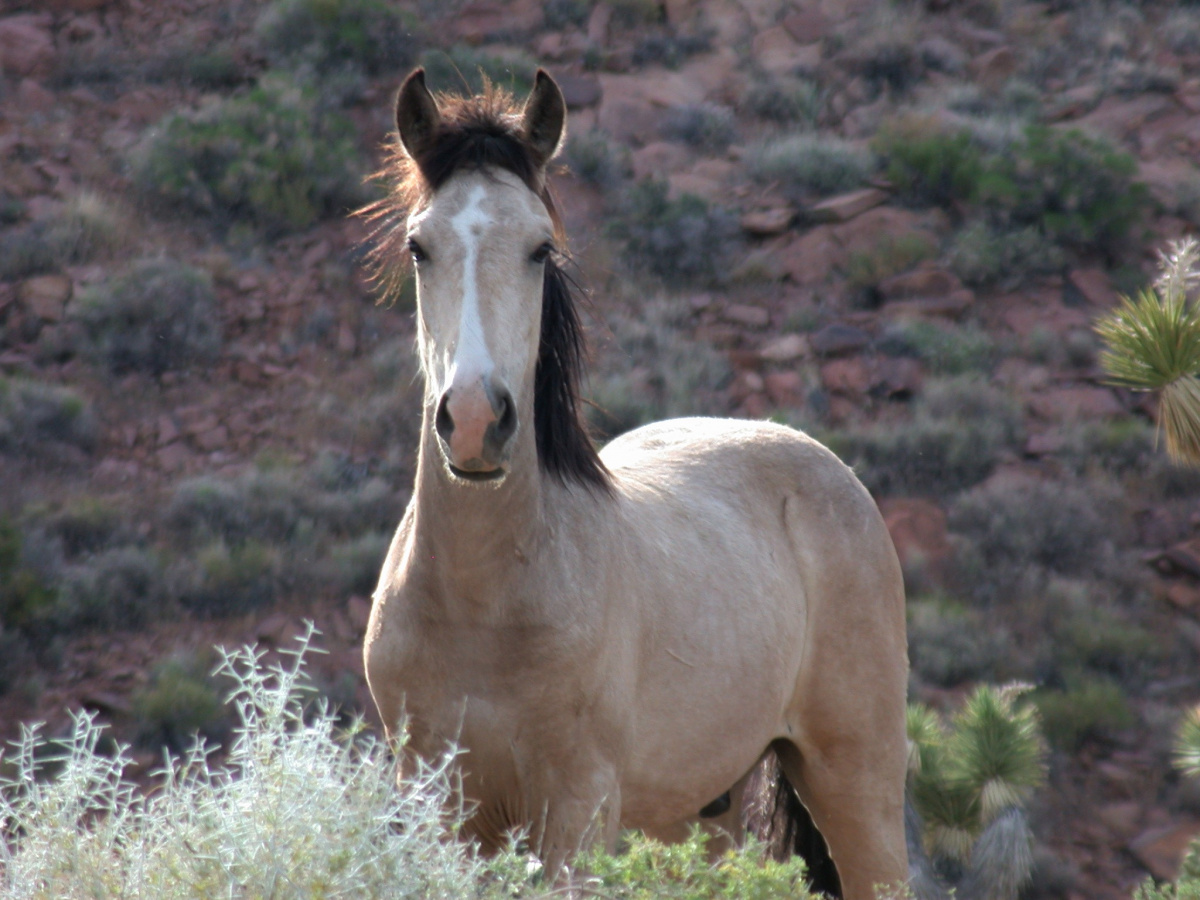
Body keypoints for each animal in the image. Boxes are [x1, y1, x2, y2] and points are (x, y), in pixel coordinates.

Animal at [360, 68, 910, 900]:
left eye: (539, 248)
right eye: (419, 246)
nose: (476, 422)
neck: (482, 604)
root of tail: (831, 471)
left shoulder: (578, 809)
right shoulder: (439, 804)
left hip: (857, 780)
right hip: (701, 811)